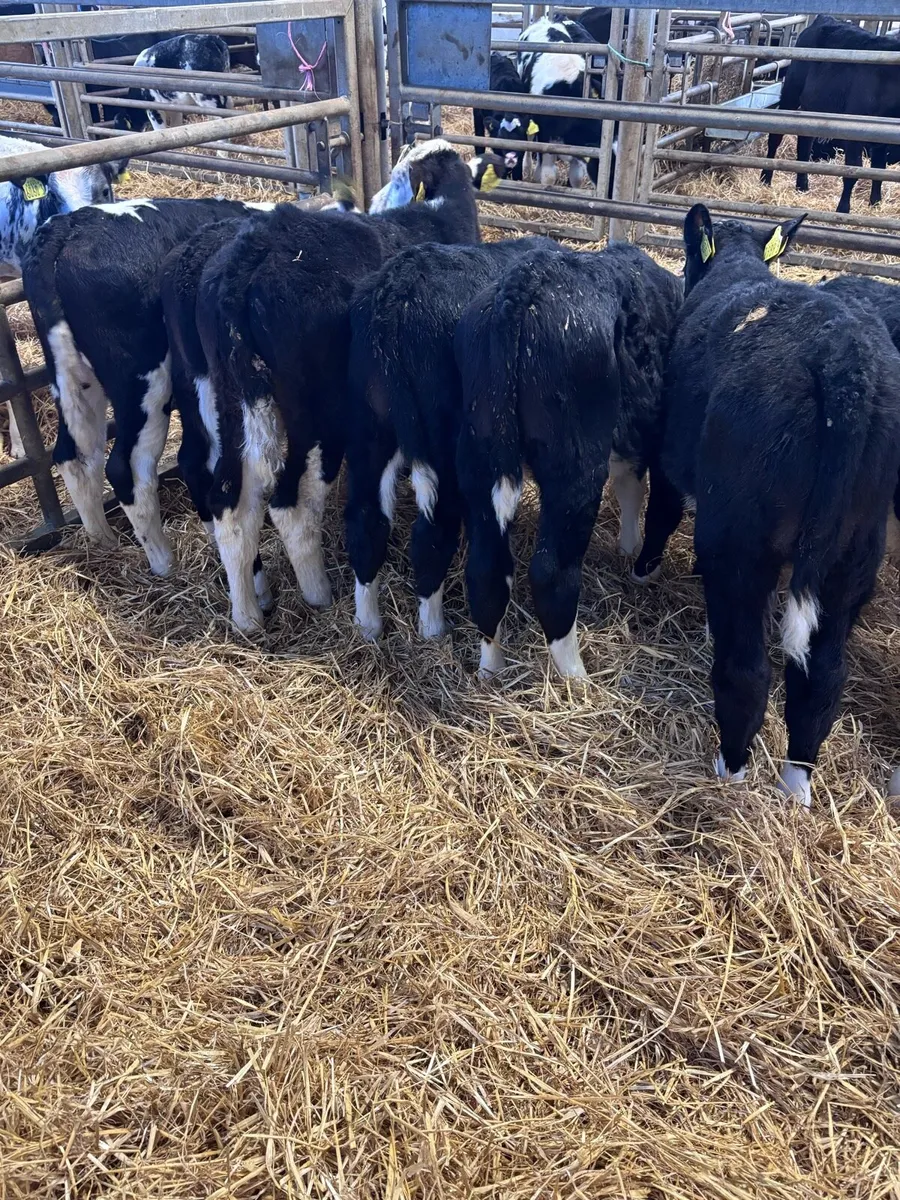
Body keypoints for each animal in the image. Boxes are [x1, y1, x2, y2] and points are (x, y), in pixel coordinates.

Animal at [454, 242, 682, 679]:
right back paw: (576, 676)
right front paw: (641, 559)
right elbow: (654, 501)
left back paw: (491, 667)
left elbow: (630, 485)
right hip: (575, 469)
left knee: (486, 568)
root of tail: (522, 284)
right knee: (551, 573)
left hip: (479, 458)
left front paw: (628, 545)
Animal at [631, 205, 900, 807]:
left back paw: (730, 767)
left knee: (748, 671)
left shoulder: (668, 453)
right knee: (821, 678)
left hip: (739, 538)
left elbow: (662, 511)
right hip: (855, 553)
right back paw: (796, 784)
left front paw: (642, 569)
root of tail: (842, 363)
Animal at [761, 16, 900, 213]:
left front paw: (876, 203)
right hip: (791, 91)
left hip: (813, 104)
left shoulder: (883, 134)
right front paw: (843, 209)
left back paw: (802, 184)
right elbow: (853, 169)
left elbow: (879, 168)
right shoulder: (855, 128)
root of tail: (826, 18)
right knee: (775, 137)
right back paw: (765, 178)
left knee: (805, 141)